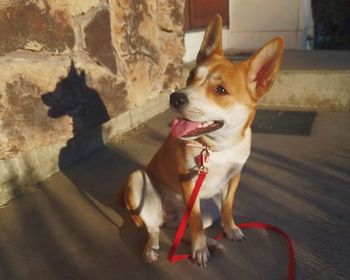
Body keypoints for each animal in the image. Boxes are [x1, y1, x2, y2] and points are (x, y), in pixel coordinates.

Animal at [123, 14, 284, 266]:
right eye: (191, 77)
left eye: (220, 90)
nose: (175, 97)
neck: (218, 148)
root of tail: (171, 217)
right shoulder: (189, 184)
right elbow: (196, 221)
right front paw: (200, 250)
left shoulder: (234, 176)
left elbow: (227, 207)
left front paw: (230, 229)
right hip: (138, 182)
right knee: (155, 229)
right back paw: (154, 249)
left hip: (211, 207)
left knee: (185, 230)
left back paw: (212, 243)